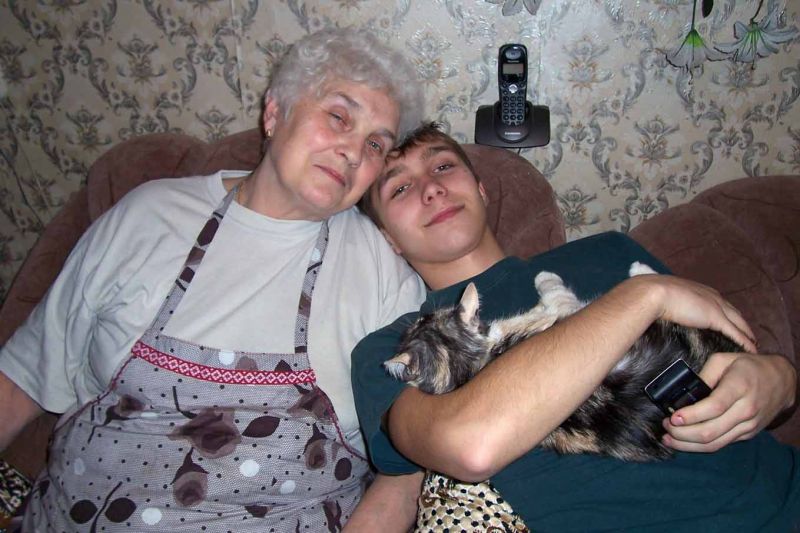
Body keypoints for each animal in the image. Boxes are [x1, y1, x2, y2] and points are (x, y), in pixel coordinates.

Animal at [384, 262, 742, 462]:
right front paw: (545, 276)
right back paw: (641, 271)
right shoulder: (566, 310)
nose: (416, 317)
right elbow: (557, 293)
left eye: (421, 322)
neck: (476, 361)